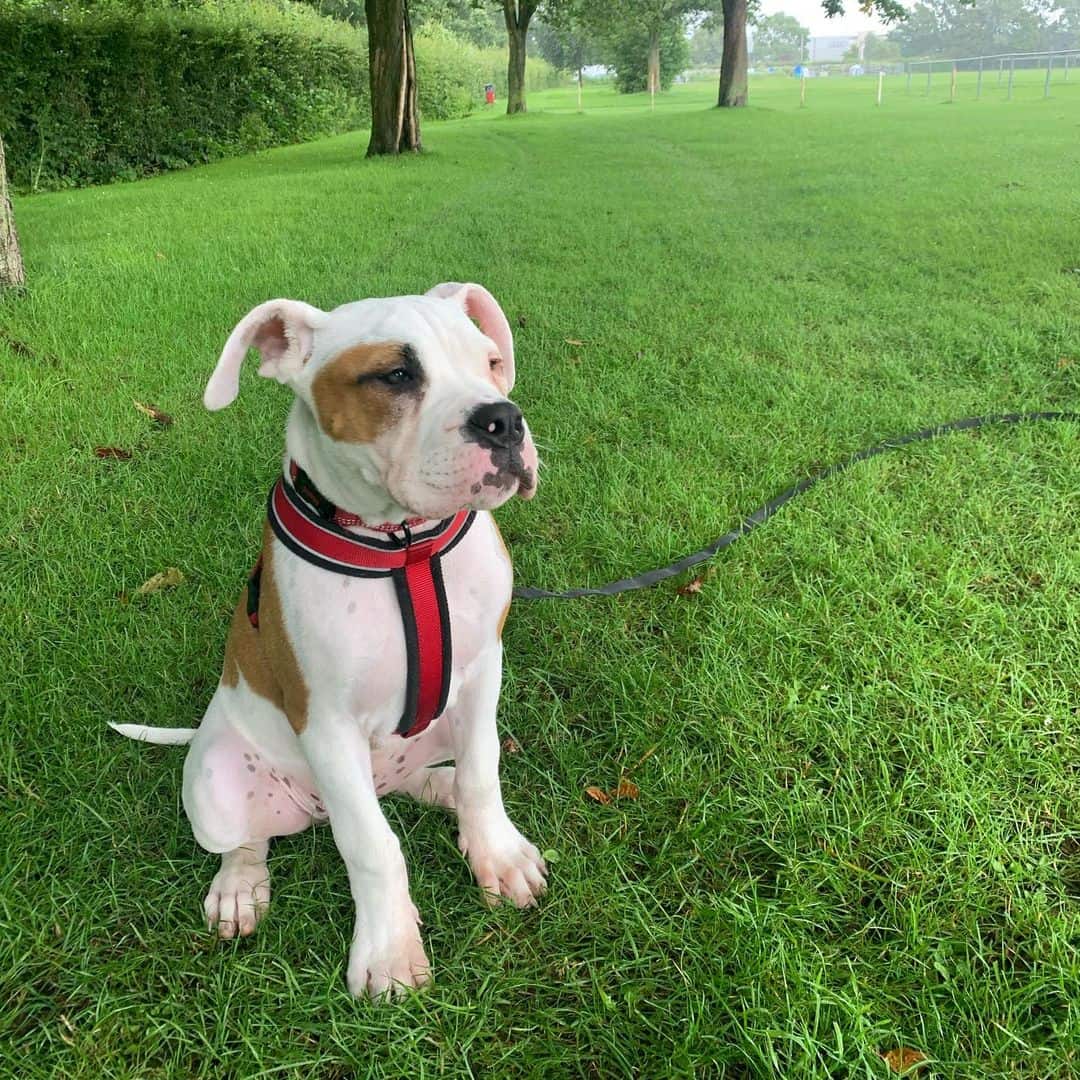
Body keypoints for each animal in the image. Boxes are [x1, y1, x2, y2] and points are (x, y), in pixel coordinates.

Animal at [113, 285, 544, 993]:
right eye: (395, 375)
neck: (403, 547)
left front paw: (498, 856)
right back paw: (238, 890)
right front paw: (390, 950)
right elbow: (371, 844)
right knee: (249, 840)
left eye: (489, 362)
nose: (503, 420)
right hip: (215, 782)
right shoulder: (326, 723)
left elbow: (484, 774)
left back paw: (446, 793)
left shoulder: (485, 670)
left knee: (427, 780)